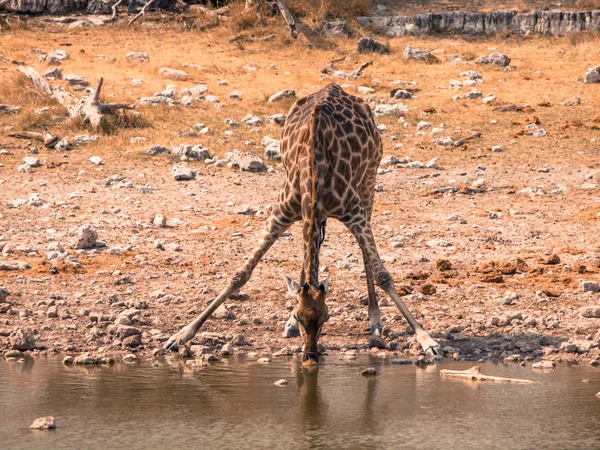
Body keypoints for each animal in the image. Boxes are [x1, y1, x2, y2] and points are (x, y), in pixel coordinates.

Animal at [164, 82, 440, 362]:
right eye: (300, 315)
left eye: (327, 317)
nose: (310, 356)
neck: (314, 175)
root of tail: (335, 86)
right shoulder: (282, 212)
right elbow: (240, 275)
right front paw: (181, 336)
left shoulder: (354, 212)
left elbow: (383, 274)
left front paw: (427, 340)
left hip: (369, 179)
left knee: (365, 257)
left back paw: (375, 323)